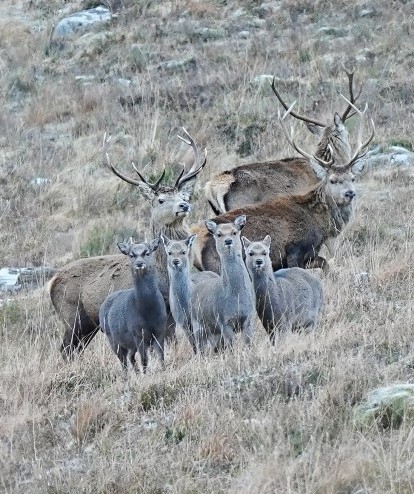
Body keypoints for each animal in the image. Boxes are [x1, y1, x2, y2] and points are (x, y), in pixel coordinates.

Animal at [50, 128, 207, 358]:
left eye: (183, 195)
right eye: (161, 200)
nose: (184, 205)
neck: (163, 274)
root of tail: (52, 282)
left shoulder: (170, 312)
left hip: (88, 325)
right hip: (72, 316)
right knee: (64, 350)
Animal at [99, 239, 166, 374]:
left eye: (147, 252)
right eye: (131, 255)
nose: (139, 263)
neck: (148, 312)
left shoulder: (160, 330)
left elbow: (161, 357)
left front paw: (163, 371)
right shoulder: (137, 333)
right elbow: (144, 360)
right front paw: (146, 375)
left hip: (129, 344)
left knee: (130, 357)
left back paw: (136, 373)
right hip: (113, 340)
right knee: (123, 362)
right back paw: (128, 377)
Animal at [191, 215, 256, 352]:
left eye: (234, 232)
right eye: (219, 234)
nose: (228, 241)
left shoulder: (249, 318)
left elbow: (248, 344)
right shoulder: (223, 320)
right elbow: (231, 347)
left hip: (214, 332)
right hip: (198, 327)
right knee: (201, 349)